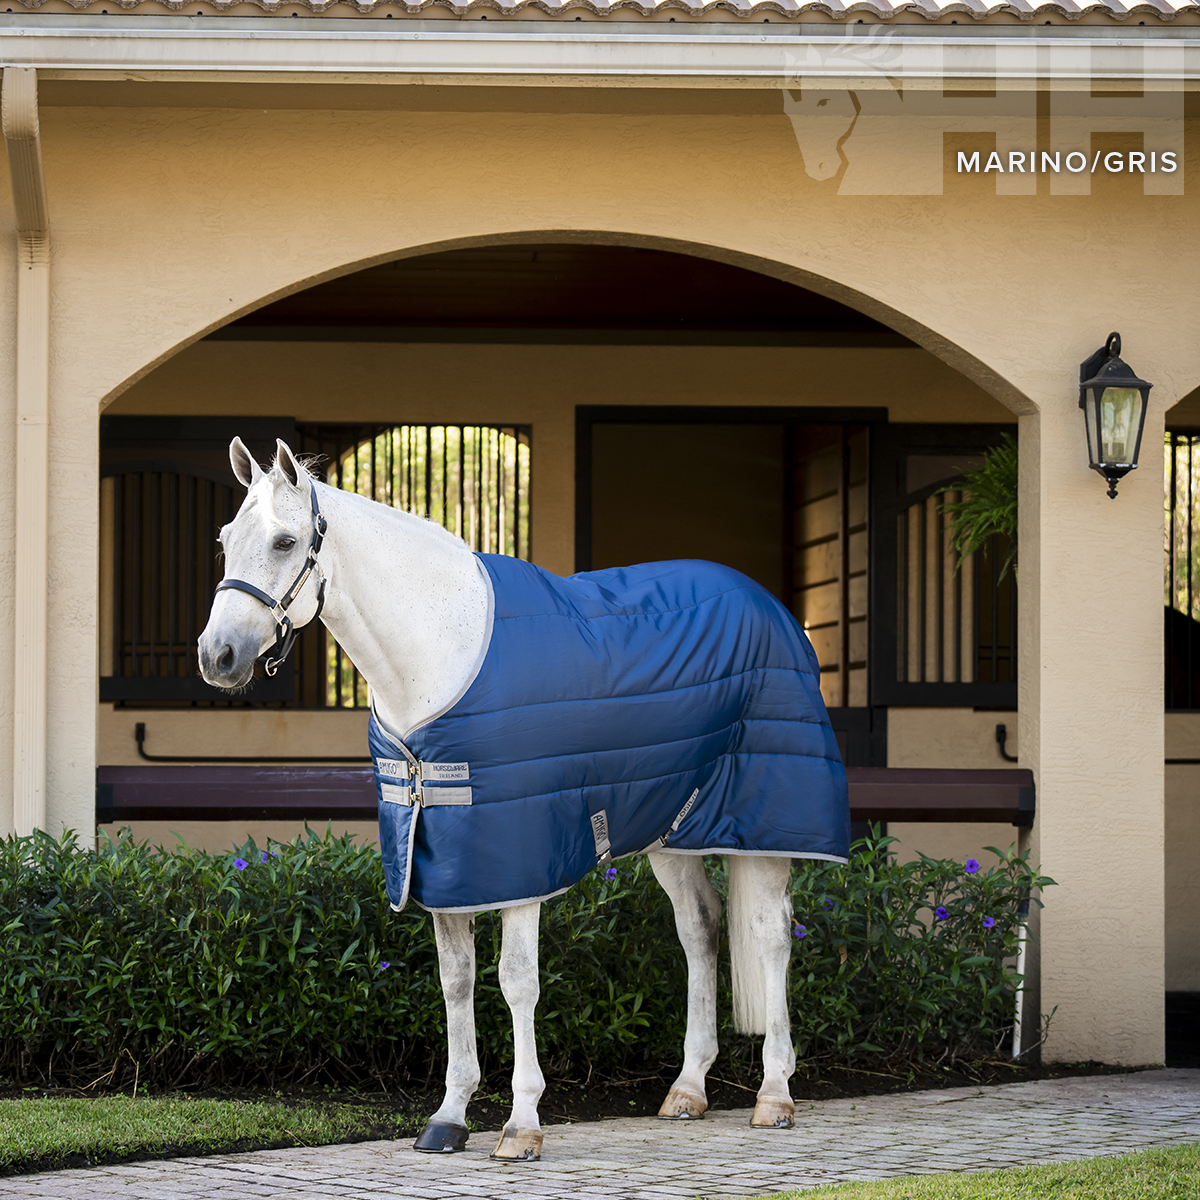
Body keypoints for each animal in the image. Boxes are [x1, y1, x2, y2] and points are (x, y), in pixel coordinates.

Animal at [199, 437, 849, 1161]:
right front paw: (449, 1117)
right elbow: (455, 980)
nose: (217, 655)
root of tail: (770, 605)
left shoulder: (520, 860)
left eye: (285, 541)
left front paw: (521, 1125)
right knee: (700, 928)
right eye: (227, 539)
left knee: (770, 936)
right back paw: (687, 1089)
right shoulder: (441, 858)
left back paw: (775, 1094)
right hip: (672, 827)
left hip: (765, 825)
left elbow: (516, 980)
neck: (440, 652)